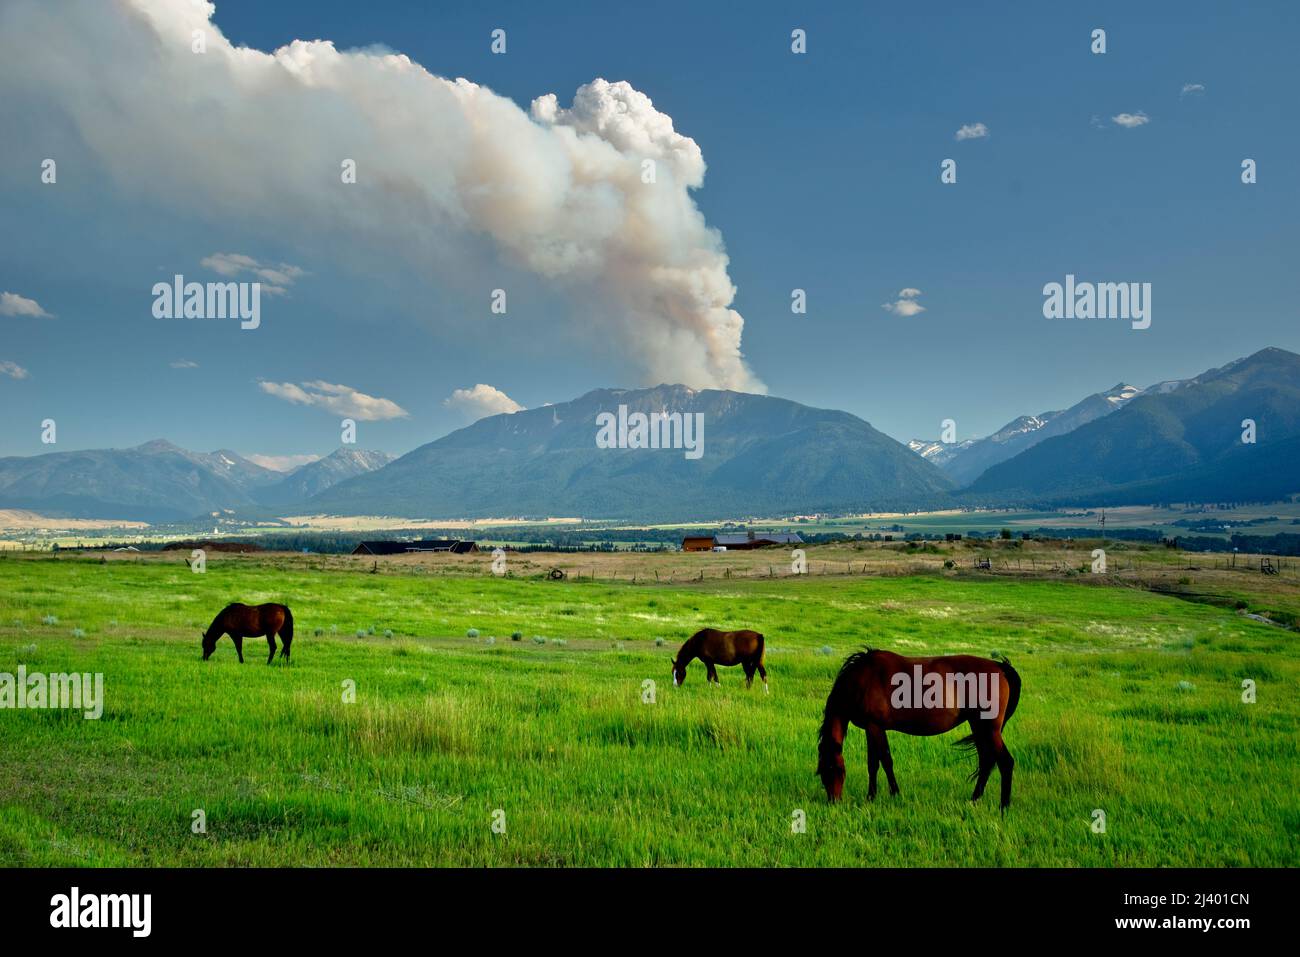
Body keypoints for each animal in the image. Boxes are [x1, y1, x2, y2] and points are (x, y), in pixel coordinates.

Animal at [816, 647, 1019, 811]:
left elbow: (884, 761)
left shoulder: (875, 726)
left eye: (834, 769)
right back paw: (974, 799)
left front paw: (892, 794)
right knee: (987, 761)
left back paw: (1004, 806)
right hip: (979, 726)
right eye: (822, 773)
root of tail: (999, 667)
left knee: (1005, 762)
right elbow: (873, 764)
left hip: (989, 728)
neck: (863, 680)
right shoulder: (871, 728)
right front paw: (872, 797)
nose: (833, 801)